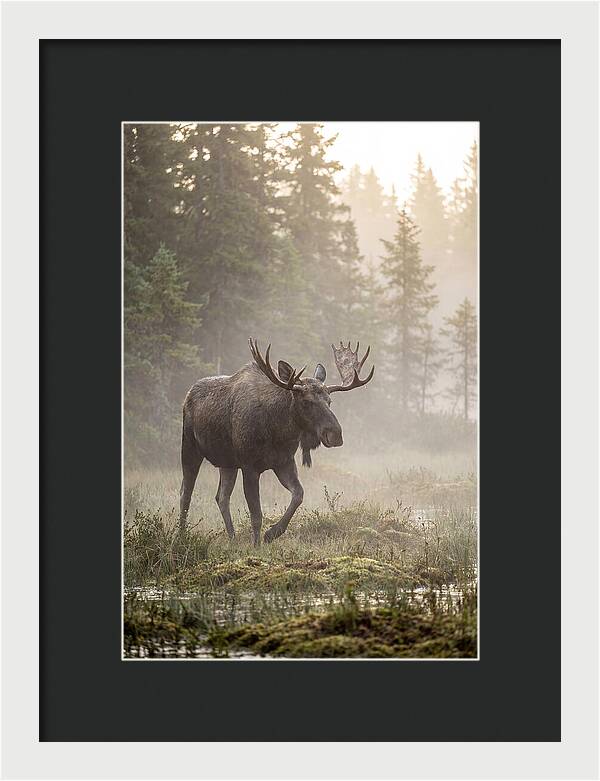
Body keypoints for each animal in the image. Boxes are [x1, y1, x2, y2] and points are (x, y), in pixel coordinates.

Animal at [178, 339, 374, 545]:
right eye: (306, 401)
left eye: (329, 401)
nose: (335, 434)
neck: (278, 432)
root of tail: (188, 395)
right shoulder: (249, 466)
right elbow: (256, 515)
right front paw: (256, 545)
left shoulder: (284, 462)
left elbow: (298, 495)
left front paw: (272, 533)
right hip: (189, 447)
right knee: (185, 493)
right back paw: (181, 535)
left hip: (227, 462)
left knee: (221, 497)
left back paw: (232, 538)